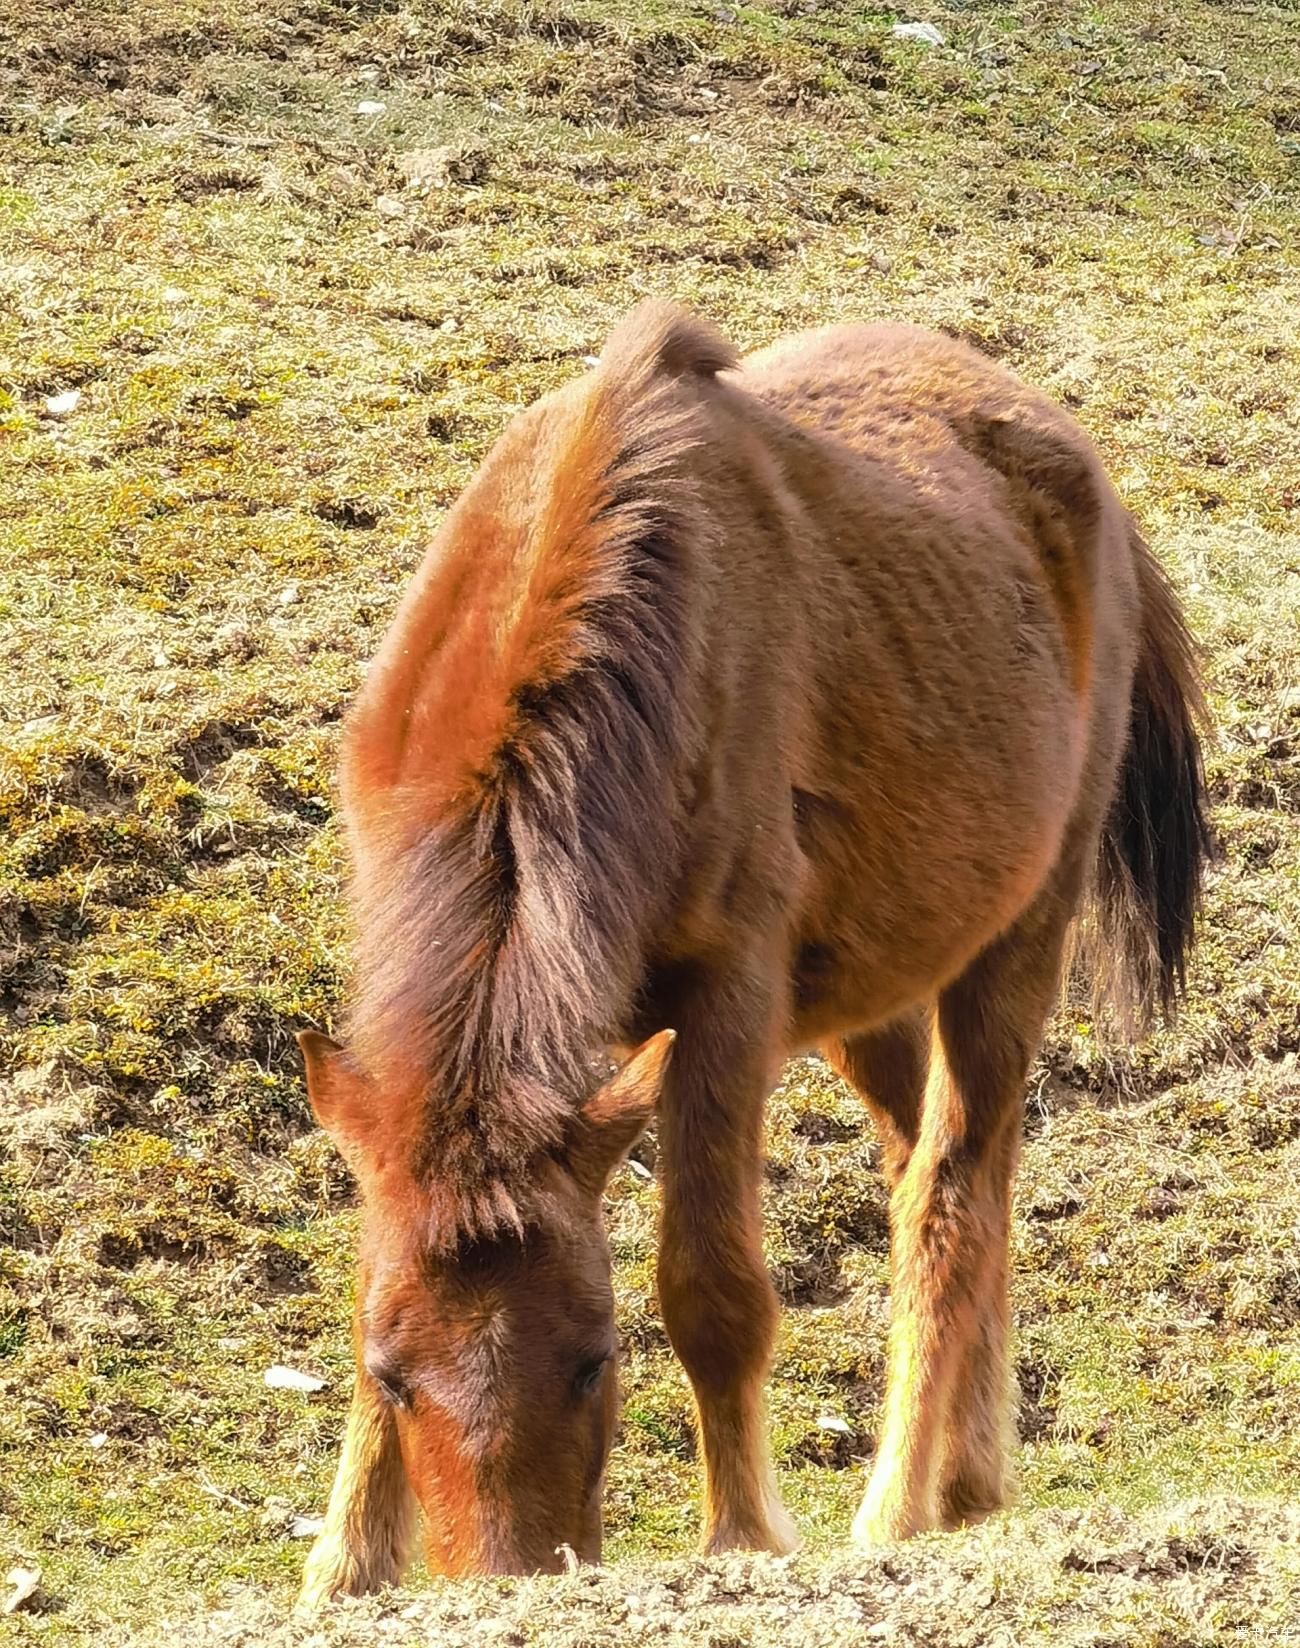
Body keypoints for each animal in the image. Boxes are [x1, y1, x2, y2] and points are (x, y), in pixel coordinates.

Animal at [294, 299, 1206, 1608]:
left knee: (951, 1184)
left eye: (592, 1358)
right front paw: (344, 1563)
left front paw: (743, 1536)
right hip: (874, 999)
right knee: (937, 1164)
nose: (512, 1575)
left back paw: (898, 1501)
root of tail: (1077, 469)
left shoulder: (723, 1002)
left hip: (1017, 936)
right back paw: (970, 1476)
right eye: (390, 1371)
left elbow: (712, 1289)